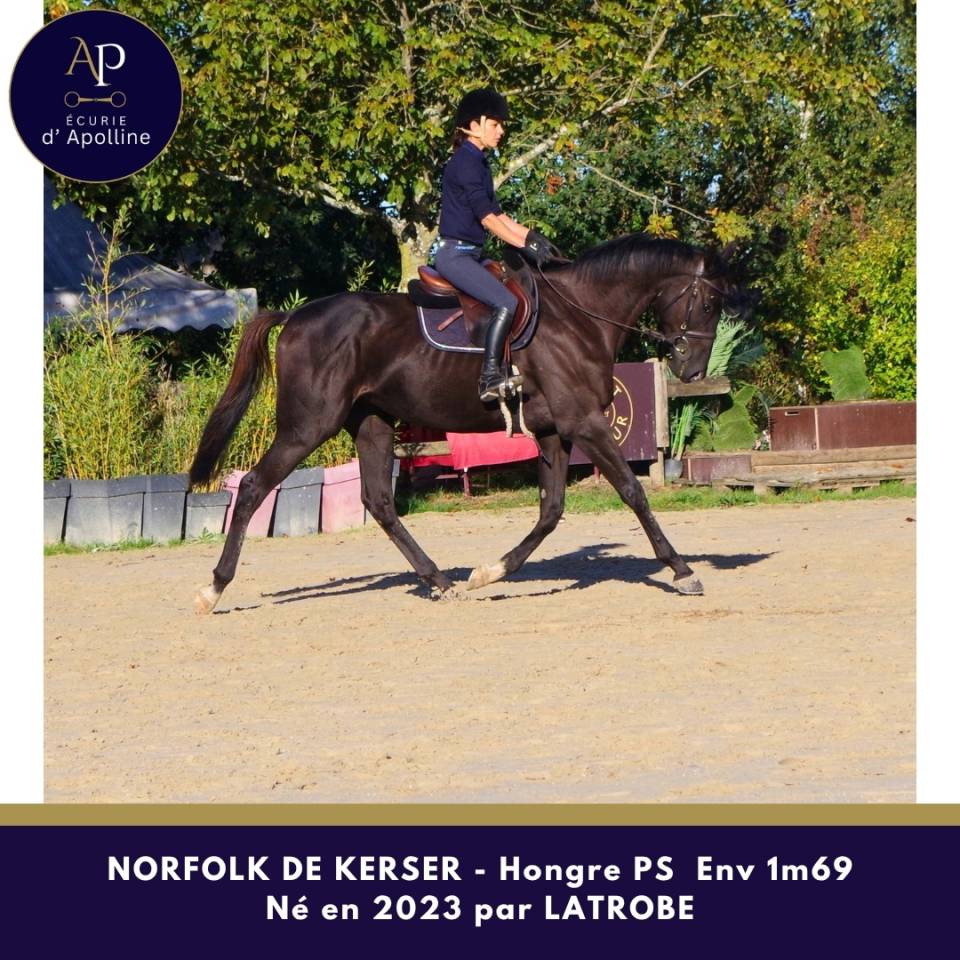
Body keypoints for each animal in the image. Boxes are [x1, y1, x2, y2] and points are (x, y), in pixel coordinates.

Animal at [189, 233, 753, 614]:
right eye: (707, 301)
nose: (693, 371)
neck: (581, 316)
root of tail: (296, 316)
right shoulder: (585, 424)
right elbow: (634, 493)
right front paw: (682, 571)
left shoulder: (554, 431)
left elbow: (551, 510)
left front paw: (489, 573)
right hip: (308, 427)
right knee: (255, 486)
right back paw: (213, 588)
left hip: (372, 422)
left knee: (380, 502)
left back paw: (440, 581)